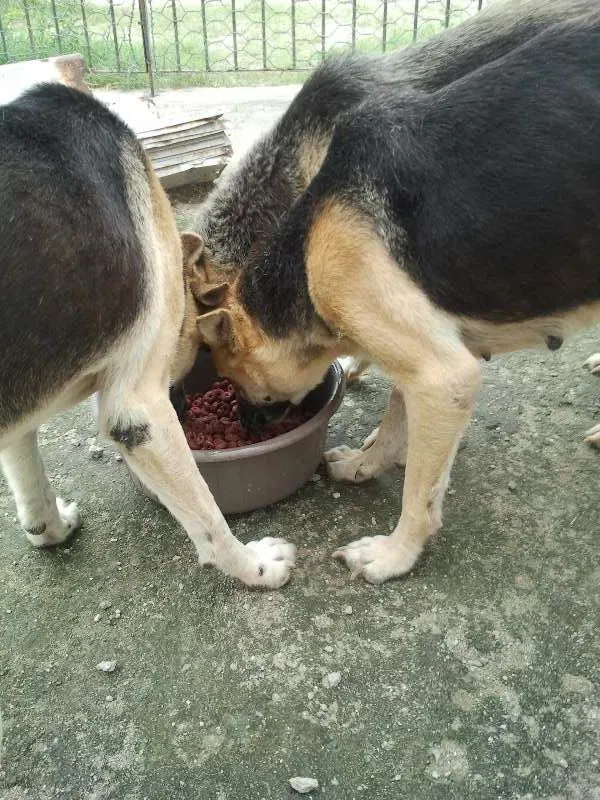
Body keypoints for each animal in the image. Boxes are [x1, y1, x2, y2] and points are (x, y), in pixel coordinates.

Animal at [0, 86, 296, 588]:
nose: (184, 405)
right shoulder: (141, 412)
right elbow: (211, 522)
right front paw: (254, 567)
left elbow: (31, 484)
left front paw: (51, 530)